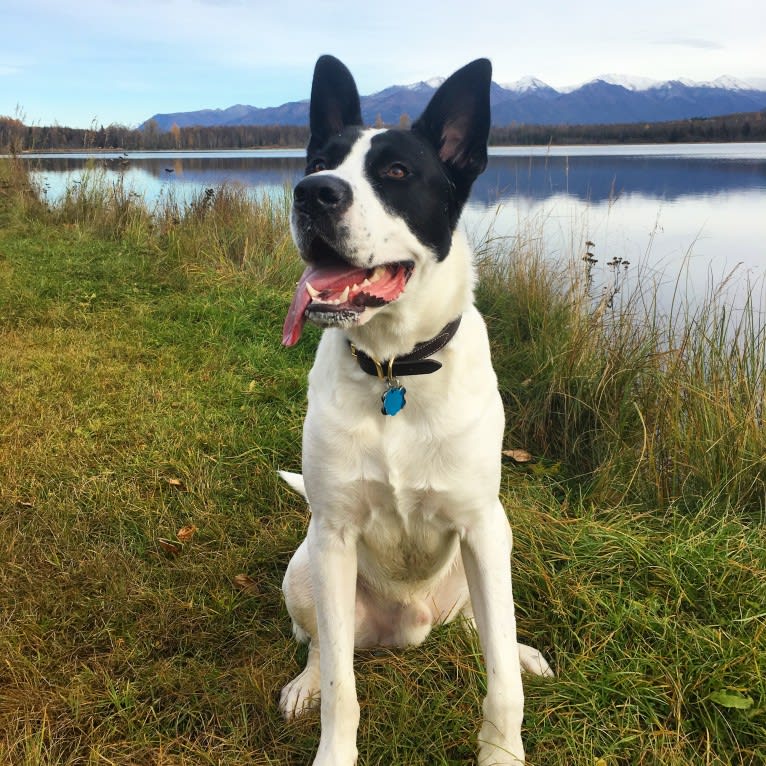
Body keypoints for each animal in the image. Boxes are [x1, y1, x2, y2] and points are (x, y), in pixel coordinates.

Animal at [280, 55, 552, 766]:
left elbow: (502, 682)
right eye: (319, 159)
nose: (312, 192)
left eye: (397, 173)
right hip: (306, 568)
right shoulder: (334, 535)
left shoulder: (483, 527)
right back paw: (304, 684)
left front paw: (502, 752)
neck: (393, 370)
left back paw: (522, 649)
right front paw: (334, 749)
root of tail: (411, 628)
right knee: (320, 647)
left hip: (488, 559)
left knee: (491, 632)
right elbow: (342, 687)